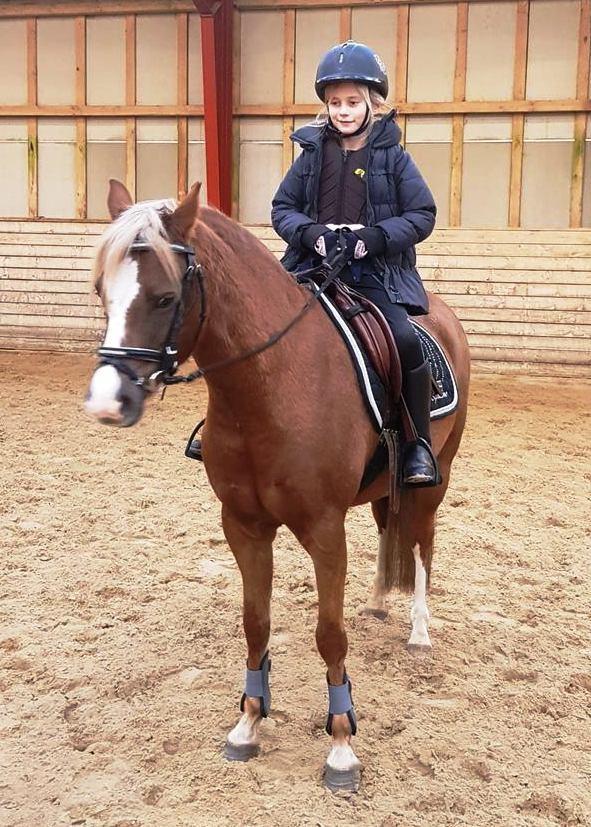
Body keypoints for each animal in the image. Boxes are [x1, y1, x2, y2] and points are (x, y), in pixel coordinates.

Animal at [85, 179, 470, 791]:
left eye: (166, 298)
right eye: (103, 289)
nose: (106, 402)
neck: (268, 385)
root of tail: (443, 316)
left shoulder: (324, 528)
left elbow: (329, 633)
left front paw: (341, 744)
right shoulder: (243, 525)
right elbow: (255, 622)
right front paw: (248, 723)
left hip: (435, 479)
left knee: (422, 541)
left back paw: (418, 630)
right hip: (382, 488)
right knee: (390, 529)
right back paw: (379, 603)